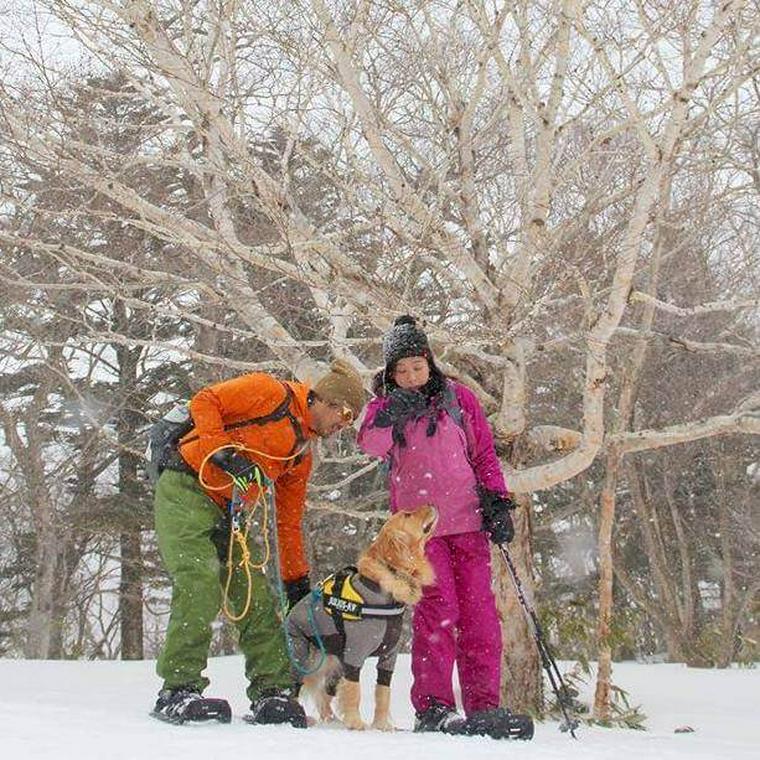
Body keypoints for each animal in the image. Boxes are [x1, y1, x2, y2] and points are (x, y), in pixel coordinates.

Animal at [286, 504, 440, 732]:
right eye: (407, 515)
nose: (431, 504)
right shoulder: (354, 654)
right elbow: (354, 691)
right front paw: (356, 722)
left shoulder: (389, 656)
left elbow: (383, 693)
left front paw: (382, 725)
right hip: (302, 654)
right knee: (293, 688)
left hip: (335, 662)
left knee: (324, 694)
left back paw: (331, 720)